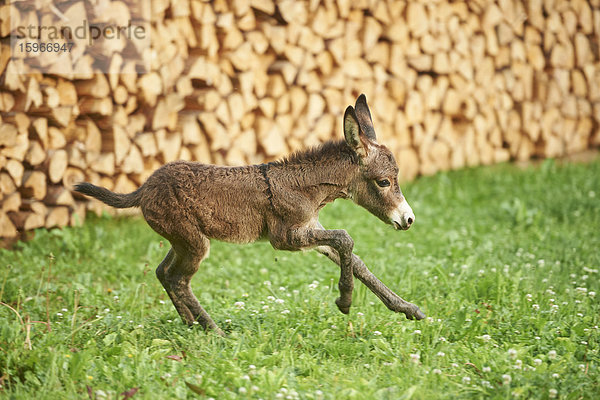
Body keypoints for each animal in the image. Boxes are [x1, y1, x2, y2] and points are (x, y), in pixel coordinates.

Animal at [76, 95, 426, 336]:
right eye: (384, 182)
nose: (408, 220)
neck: (308, 189)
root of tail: (144, 188)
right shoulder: (286, 237)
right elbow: (346, 238)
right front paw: (345, 302)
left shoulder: (310, 230)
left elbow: (355, 260)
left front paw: (407, 309)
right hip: (193, 241)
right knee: (178, 278)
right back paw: (214, 331)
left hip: (181, 239)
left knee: (164, 272)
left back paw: (191, 325)